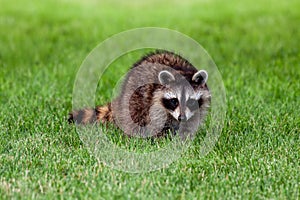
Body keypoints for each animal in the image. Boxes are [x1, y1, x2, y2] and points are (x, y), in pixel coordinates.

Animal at [69, 50, 211, 138]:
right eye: (174, 101)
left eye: (190, 101)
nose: (181, 118)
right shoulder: (155, 101)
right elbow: (157, 123)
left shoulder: (198, 108)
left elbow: (191, 123)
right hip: (133, 96)